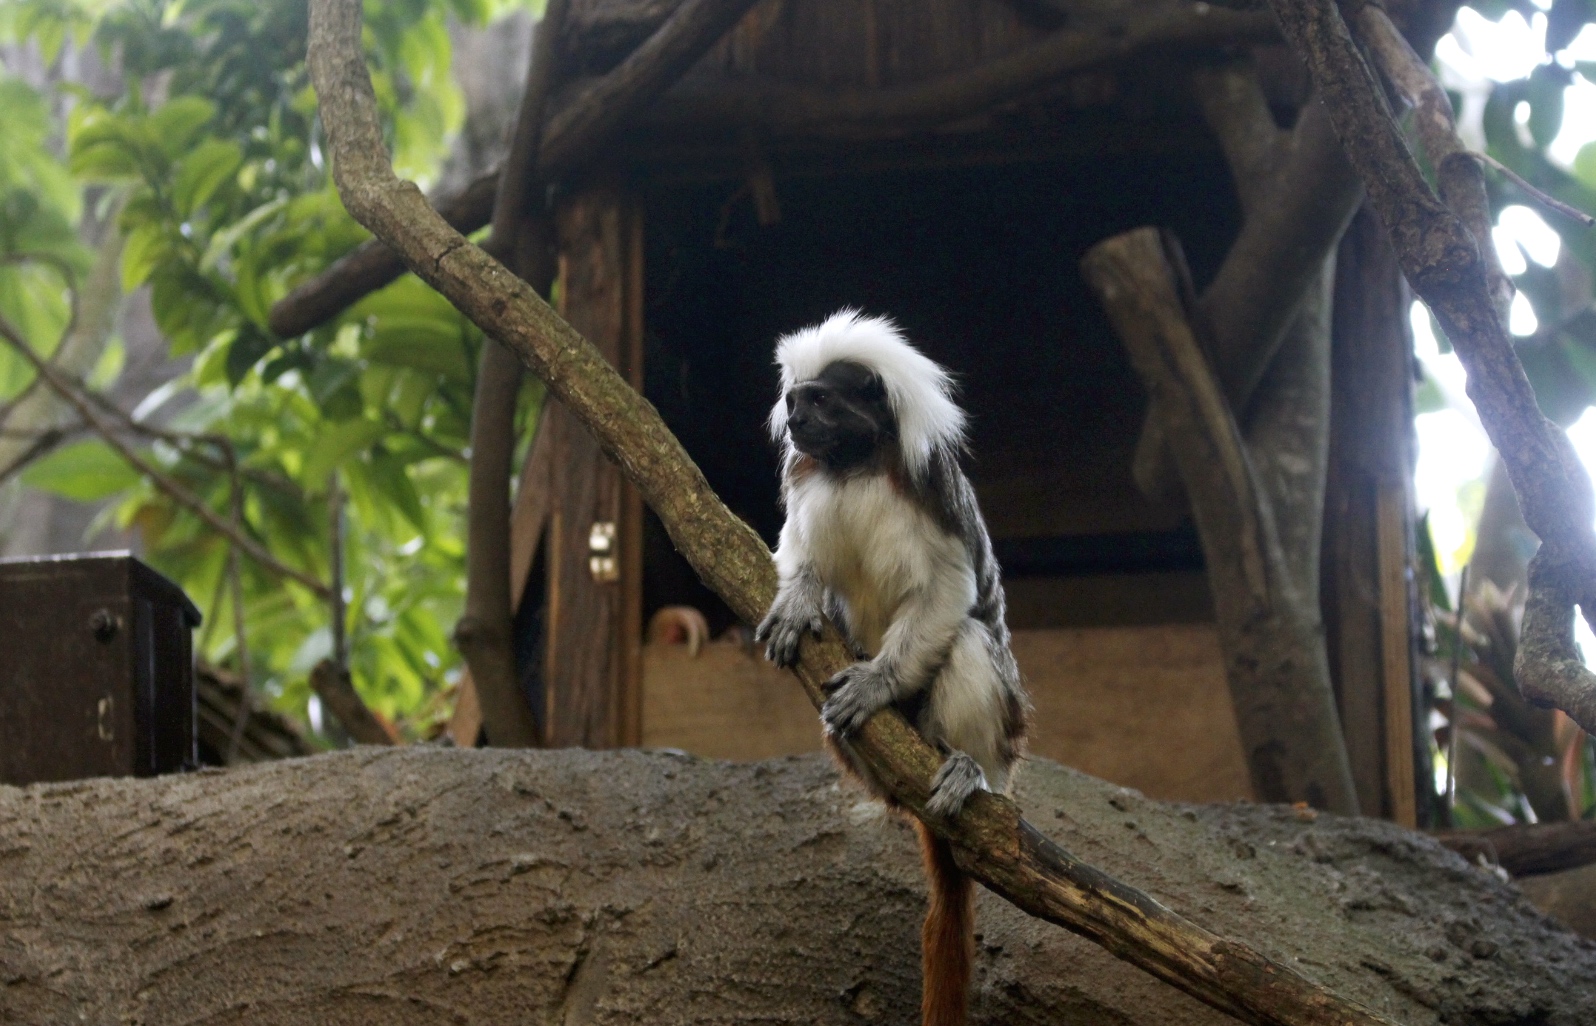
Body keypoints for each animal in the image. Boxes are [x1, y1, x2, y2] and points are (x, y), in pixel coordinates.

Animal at [753, 309, 1027, 1026]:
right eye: (793, 400)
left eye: (820, 400)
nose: (796, 419)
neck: (857, 468)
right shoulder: (812, 487)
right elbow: (798, 551)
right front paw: (801, 598)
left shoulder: (933, 493)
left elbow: (947, 592)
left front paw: (876, 683)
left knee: (967, 642)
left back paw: (967, 770)